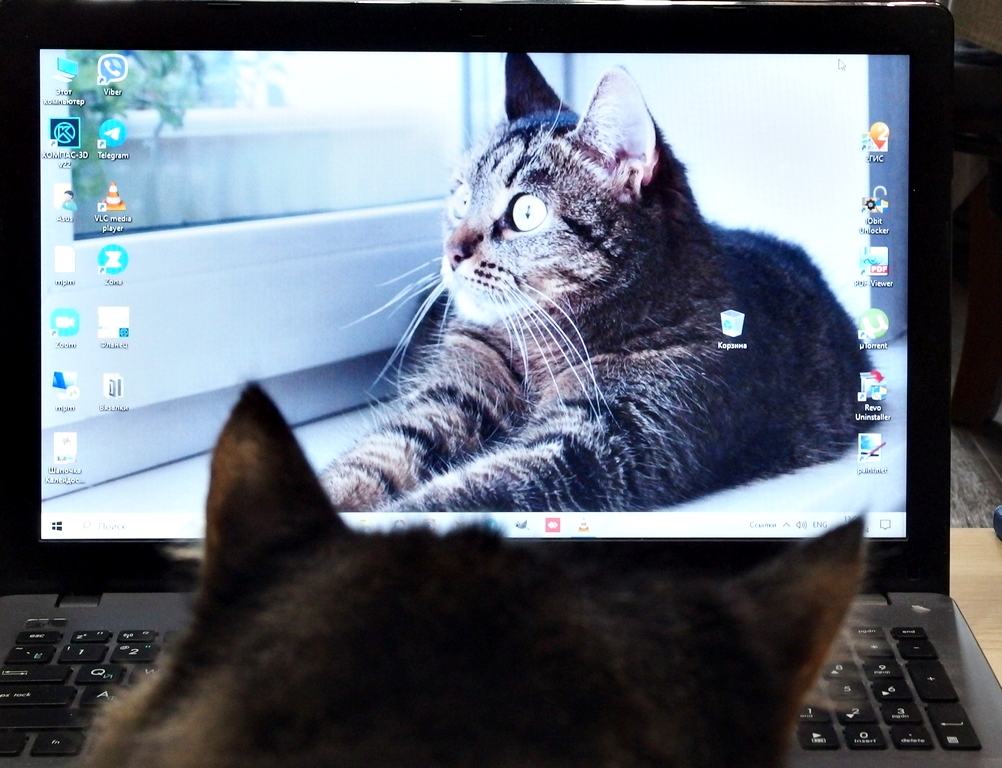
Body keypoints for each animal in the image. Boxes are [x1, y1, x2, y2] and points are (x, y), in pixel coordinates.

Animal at [319, 53, 867, 514]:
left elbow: (462, 494)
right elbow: (378, 454)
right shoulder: (454, 393)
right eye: (460, 198)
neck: (539, 349)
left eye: (525, 212)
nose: (451, 252)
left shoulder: (602, 440)